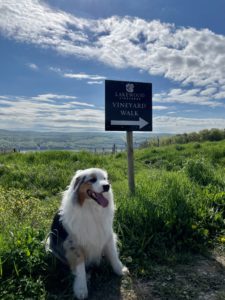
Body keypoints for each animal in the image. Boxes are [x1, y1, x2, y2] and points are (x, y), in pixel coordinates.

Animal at [45, 168, 128, 298]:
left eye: (105, 179)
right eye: (92, 179)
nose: (107, 186)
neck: (91, 208)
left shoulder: (107, 235)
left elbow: (113, 255)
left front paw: (120, 270)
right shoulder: (73, 245)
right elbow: (80, 268)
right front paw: (81, 289)